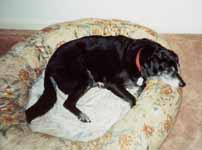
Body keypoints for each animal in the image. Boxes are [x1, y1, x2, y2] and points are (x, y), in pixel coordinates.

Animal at [24, 35, 185, 123]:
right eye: (168, 70)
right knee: (67, 102)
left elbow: (141, 87)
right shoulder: (112, 83)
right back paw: (82, 115)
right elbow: (132, 98)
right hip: (84, 77)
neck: (138, 57)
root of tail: (49, 65)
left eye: (178, 68)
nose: (183, 84)